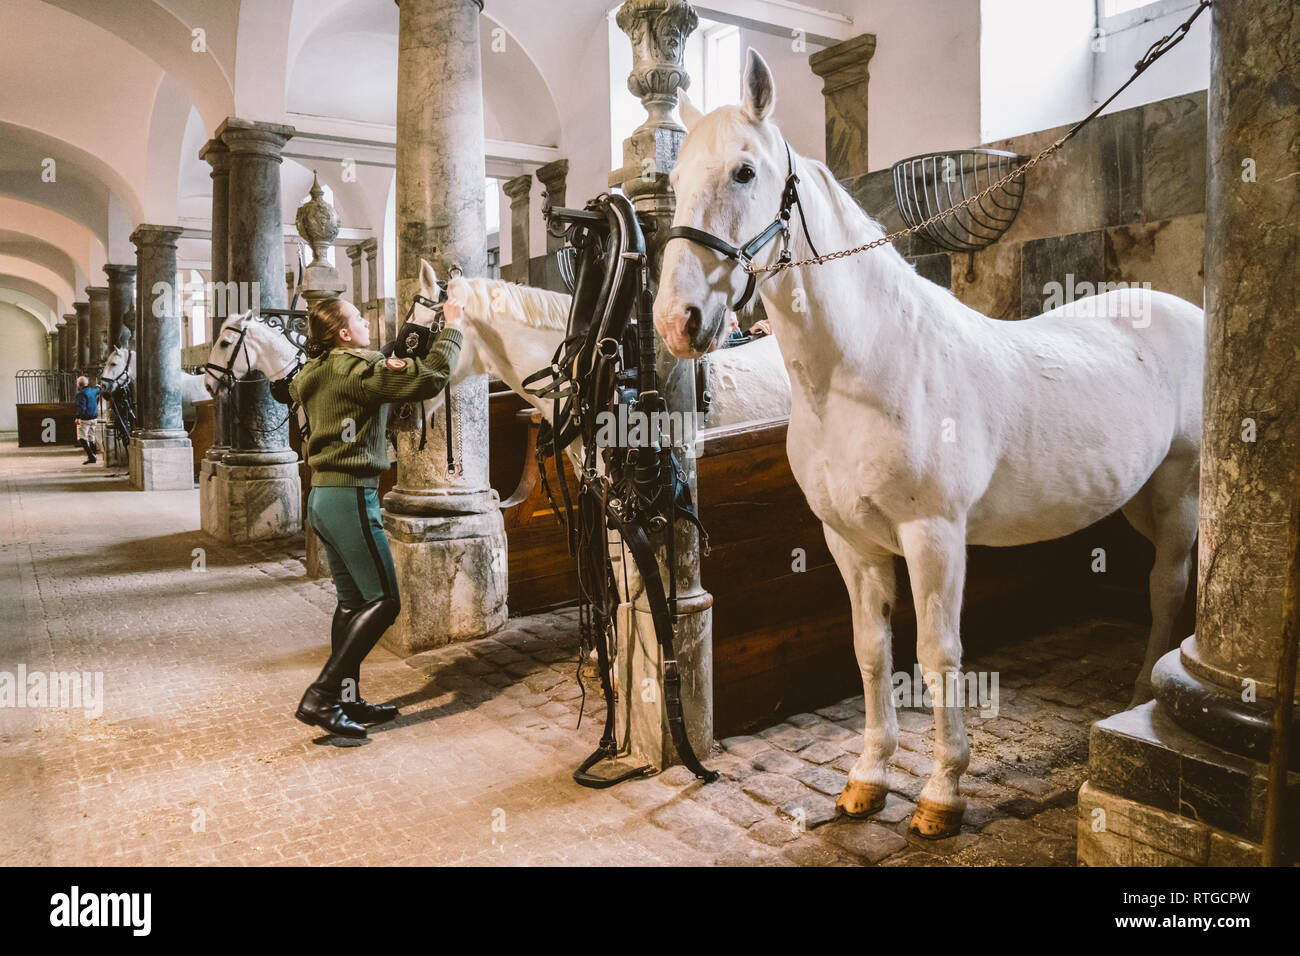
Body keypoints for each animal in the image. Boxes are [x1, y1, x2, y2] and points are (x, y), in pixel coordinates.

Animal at [655, 50, 1201, 837]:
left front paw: (943, 792)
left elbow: (938, 655)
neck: (864, 369)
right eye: (672, 184)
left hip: (1182, 489)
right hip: (1138, 495)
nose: (678, 321)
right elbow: (872, 651)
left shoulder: (934, 534)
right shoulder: (850, 540)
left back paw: (1143, 692)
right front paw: (868, 779)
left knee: (1168, 584)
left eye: (744, 171)